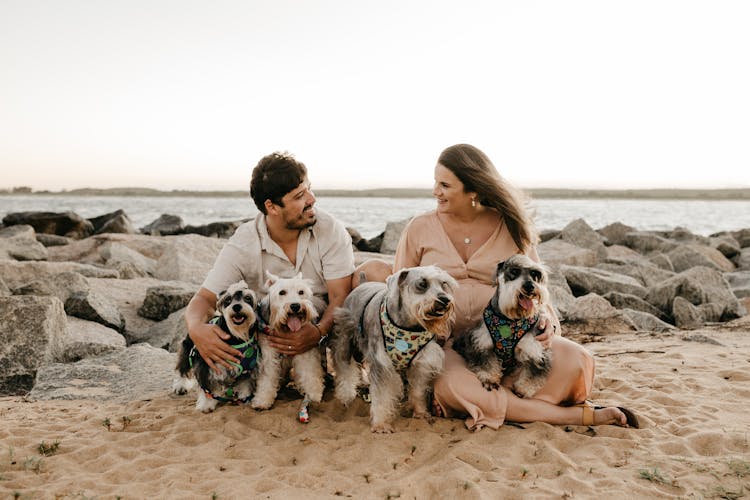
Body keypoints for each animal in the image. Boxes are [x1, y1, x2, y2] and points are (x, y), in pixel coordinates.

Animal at [173, 280, 262, 412]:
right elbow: (207, 388)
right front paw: (206, 405)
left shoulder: (248, 368)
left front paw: (245, 398)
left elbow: (245, 385)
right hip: (188, 348)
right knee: (182, 368)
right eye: (228, 300)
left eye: (248, 298)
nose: (236, 307)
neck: (236, 337)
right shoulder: (206, 366)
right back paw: (180, 385)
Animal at [251, 272, 328, 412]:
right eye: (282, 292)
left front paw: (314, 393)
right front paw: (262, 400)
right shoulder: (269, 356)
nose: (295, 306)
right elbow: (267, 377)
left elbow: (309, 372)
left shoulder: (304, 349)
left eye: (301, 292)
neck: (286, 328)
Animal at [334, 264, 458, 432]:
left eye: (443, 283)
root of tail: (362, 284)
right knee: (344, 369)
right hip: (345, 341)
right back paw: (346, 395)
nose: (445, 299)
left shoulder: (421, 363)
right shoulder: (381, 364)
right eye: (422, 283)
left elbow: (418, 390)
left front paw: (420, 412)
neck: (408, 326)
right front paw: (380, 424)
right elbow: (381, 396)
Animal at [452, 254, 552, 398]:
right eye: (514, 271)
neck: (509, 319)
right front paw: (489, 379)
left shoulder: (535, 350)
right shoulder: (482, 343)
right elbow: (486, 364)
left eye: (535, 273)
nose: (530, 286)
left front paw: (524, 388)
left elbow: (533, 373)